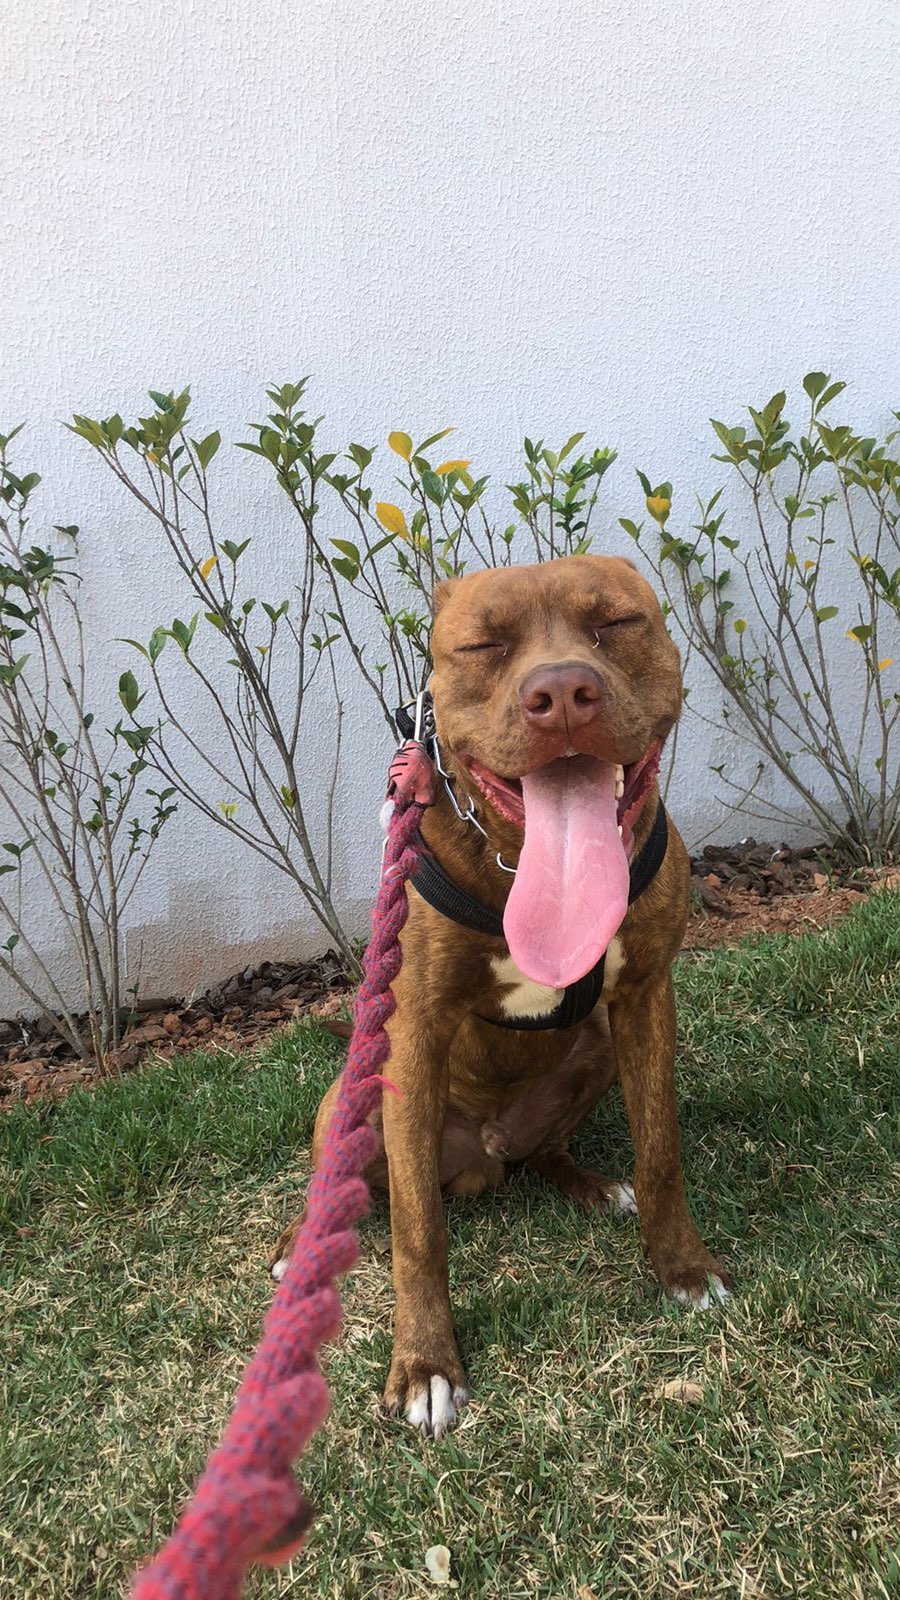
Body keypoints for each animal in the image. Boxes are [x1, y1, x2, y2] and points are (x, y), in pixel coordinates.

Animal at [273, 553, 730, 1437]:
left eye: (616, 623)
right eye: (483, 646)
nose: (562, 693)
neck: (523, 863)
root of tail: (485, 1155)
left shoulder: (646, 999)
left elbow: (661, 1151)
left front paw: (682, 1269)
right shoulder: (413, 1032)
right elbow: (418, 1227)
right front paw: (425, 1365)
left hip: (594, 1053)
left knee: (545, 1149)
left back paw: (589, 1184)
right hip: (358, 1092)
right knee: (355, 1187)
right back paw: (297, 1247)